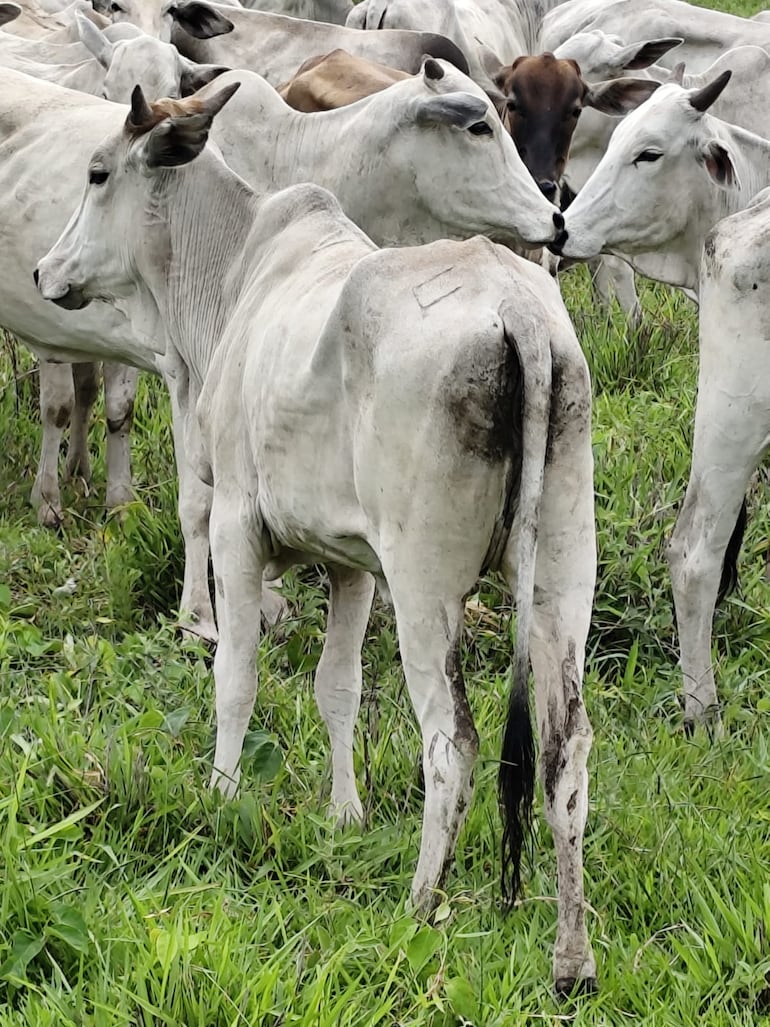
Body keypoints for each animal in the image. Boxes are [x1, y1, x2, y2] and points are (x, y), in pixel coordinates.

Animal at [36, 78, 599, 994]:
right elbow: (337, 687)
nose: (46, 271)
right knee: (566, 753)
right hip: (557, 581)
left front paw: (222, 792)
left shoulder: (238, 525)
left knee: (453, 744)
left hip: (426, 586)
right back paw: (572, 956)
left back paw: (420, 907)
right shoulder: (352, 567)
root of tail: (518, 310)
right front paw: (344, 810)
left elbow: (235, 673)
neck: (235, 269)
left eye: (96, 172)